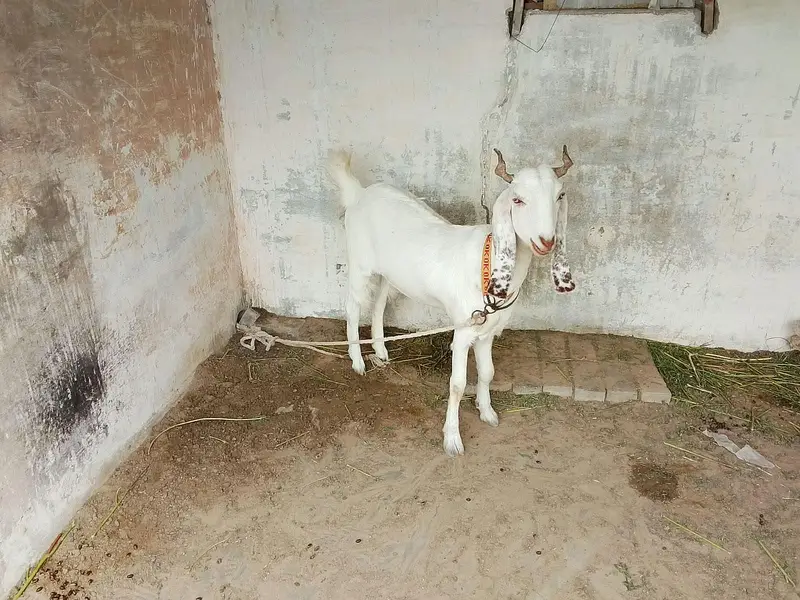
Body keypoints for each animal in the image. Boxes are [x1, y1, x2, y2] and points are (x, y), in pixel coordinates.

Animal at [326, 147, 576, 456]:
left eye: (560, 196)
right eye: (518, 199)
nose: (546, 242)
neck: (488, 264)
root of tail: (359, 194)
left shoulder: (487, 331)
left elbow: (488, 372)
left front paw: (487, 412)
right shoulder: (464, 330)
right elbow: (457, 384)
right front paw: (452, 439)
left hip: (390, 273)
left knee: (380, 303)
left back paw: (381, 351)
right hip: (360, 264)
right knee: (353, 306)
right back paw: (358, 361)